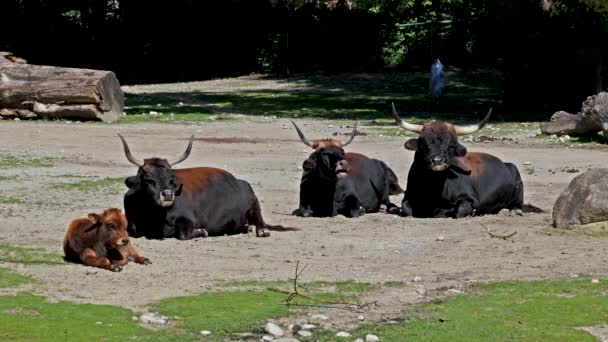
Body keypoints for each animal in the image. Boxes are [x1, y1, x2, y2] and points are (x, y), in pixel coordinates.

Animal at [117, 134, 298, 240]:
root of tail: (239, 181)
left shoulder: (188, 219)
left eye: (171, 179)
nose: (168, 195)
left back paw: (261, 230)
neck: (154, 216)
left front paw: (201, 232)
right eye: (148, 179)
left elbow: (183, 234)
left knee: (259, 219)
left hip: (254, 201)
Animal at [390, 103, 540, 218]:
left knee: (517, 205)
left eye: (451, 145)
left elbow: (460, 211)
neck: (434, 188)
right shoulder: (407, 198)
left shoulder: (469, 199)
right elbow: (407, 210)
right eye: (423, 143)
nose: (438, 161)